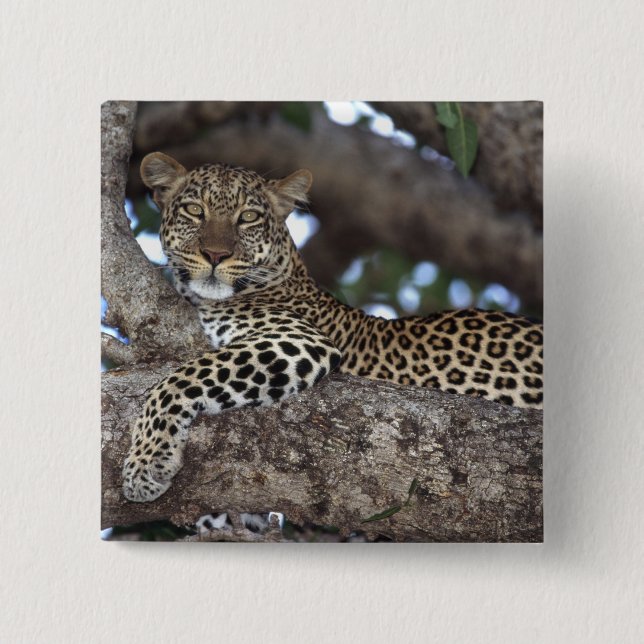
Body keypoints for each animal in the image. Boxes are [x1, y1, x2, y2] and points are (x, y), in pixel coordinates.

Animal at [122, 152, 543, 503]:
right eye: (194, 210)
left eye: (248, 217)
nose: (215, 255)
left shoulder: (298, 340)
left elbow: (180, 379)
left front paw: (144, 465)